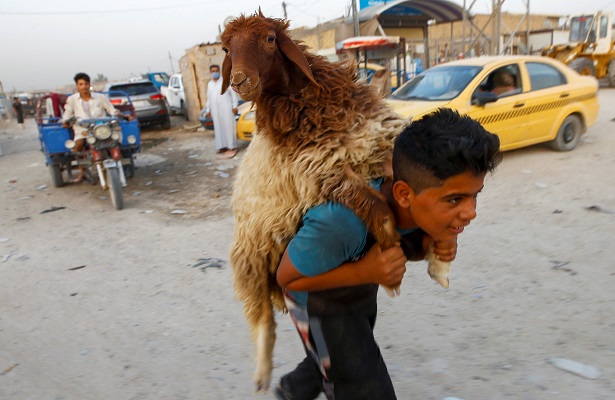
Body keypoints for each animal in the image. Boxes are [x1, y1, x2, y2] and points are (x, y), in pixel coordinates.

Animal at [223, 10, 452, 394]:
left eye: (270, 39)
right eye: (226, 48)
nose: (240, 82)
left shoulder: (379, 139)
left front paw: (440, 259)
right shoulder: (324, 173)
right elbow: (381, 212)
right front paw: (390, 272)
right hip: (250, 254)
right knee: (261, 320)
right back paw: (262, 373)